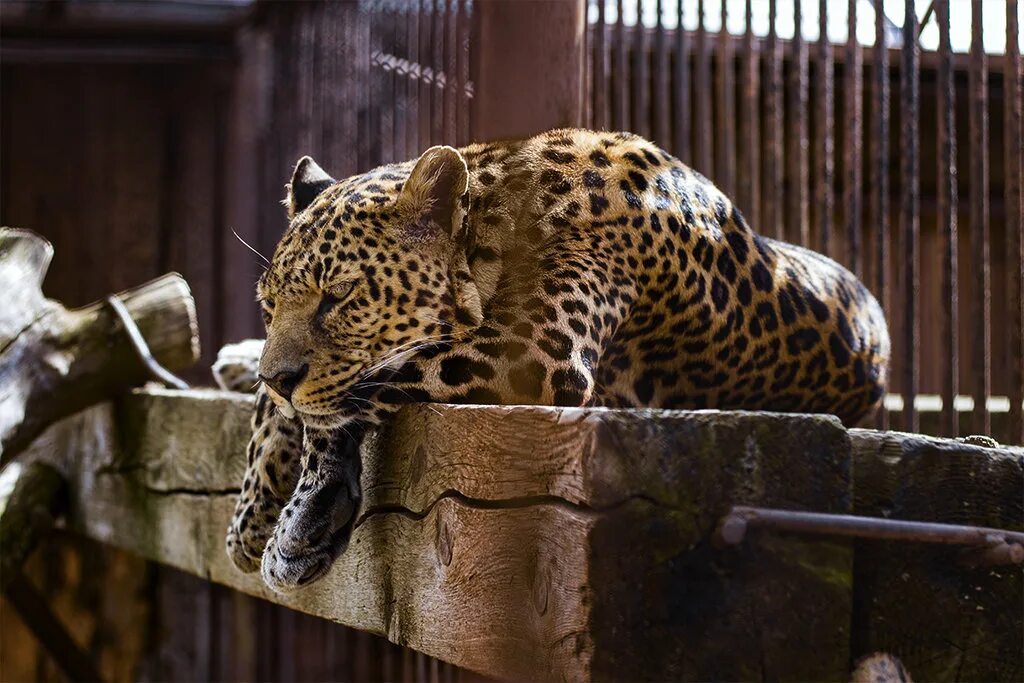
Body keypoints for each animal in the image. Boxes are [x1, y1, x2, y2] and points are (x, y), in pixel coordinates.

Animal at [224, 127, 888, 593]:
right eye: (269, 305)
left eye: (339, 296)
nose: (278, 377)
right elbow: (307, 402)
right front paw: (265, 507)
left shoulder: (529, 351)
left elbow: (355, 391)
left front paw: (283, 525)